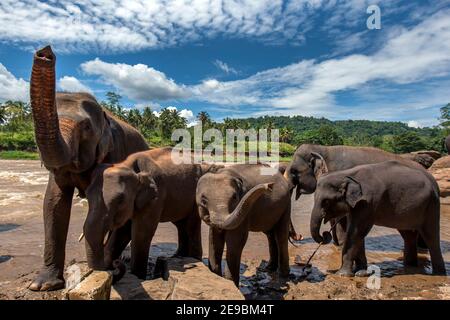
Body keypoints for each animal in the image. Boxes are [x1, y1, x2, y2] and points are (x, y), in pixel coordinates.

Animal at [29, 46, 149, 292]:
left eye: (85, 127)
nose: (45, 53)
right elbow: (54, 203)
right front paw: (42, 285)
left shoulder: (118, 151)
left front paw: (107, 268)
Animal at [84, 148, 220, 280]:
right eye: (86, 194)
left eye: (120, 200)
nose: (115, 263)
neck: (127, 165)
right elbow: (123, 231)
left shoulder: (155, 197)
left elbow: (141, 233)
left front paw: (138, 276)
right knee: (181, 225)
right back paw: (178, 257)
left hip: (196, 199)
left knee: (191, 225)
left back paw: (192, 259)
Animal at [284, 144, 426, 246]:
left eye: (294, 171)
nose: (299, 237)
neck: (322, 148)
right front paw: (337, 244)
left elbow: (342, 217)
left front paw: (341, 244)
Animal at [312, 161, 444, 276]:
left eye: (326, 201)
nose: (325, 234)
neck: (347, 174)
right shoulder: (357, 204)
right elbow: (356, 233)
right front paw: (361, 272)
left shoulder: (368, 202)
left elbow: (356, 232)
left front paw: (343, 275)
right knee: (408, 236)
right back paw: (410, 267)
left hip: (431, 206)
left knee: (431, 237)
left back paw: (438, 273)